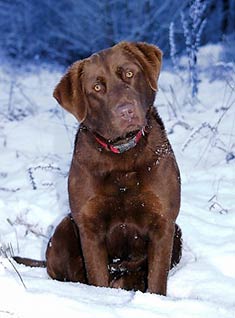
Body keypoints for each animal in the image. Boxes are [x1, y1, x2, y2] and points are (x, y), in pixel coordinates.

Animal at [13, 42, 182, 296]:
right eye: (97, 87)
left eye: (129, 73)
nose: (126, 111)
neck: (122, 155)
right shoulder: (89, 225)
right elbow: (97, 277)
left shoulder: (163, 221)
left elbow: (156, 279)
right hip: (64, 229)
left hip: (177, 234)